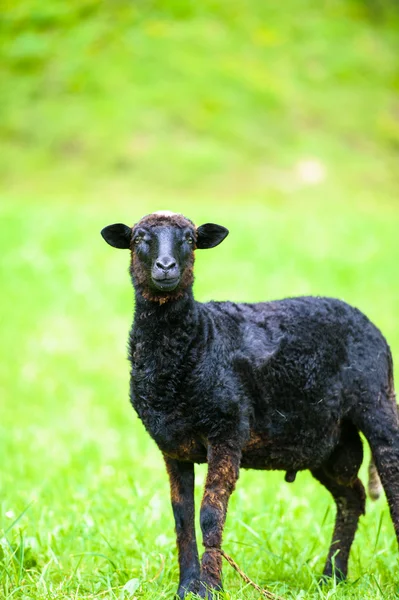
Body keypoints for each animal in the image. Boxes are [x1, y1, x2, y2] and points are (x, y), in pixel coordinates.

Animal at [101, 211, 398, 596]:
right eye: (138, 239)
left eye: (189, 239)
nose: (165, 266)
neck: (196, 340)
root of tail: (364, 319)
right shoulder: (173, 445)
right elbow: (181, 517)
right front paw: (187, 587)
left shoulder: (227, 430)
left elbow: (210, 515)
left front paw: (211, 588)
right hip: (328, 441)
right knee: (352, 497)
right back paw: (332, 576)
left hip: (376, 402)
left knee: (391, 480)